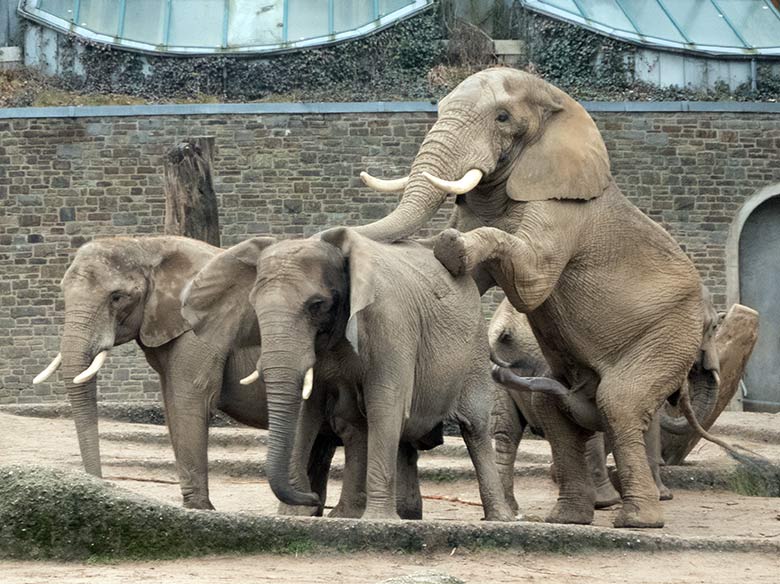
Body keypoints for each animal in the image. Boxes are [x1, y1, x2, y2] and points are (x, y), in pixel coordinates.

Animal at [32, 237, 338, 512]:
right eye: (62, 292)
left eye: (117, 297)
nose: (99, 485)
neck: (147, 246)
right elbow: (172, 407)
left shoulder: (198, 332)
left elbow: (189, 401)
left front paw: (200, 510)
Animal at [180, 227, 516, 520]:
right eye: (253, 306)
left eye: (317, 304)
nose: (313, 498)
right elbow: (308, 409)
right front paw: (299, 515)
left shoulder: (390, 322)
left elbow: (385, 403)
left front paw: (378, 521)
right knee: (363, 426)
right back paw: (377, 516)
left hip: (474, 348)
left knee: (474, 428)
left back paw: (498, 519)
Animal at [352, 68, 712, 528]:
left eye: (503, 117)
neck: (562, 108)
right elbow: (481, 278)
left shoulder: (562, 209)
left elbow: (531, 281)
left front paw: (451, 246)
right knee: (555, 408)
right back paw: (568, 519)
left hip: (672, 331)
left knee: (621, 403)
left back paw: (636, 521)